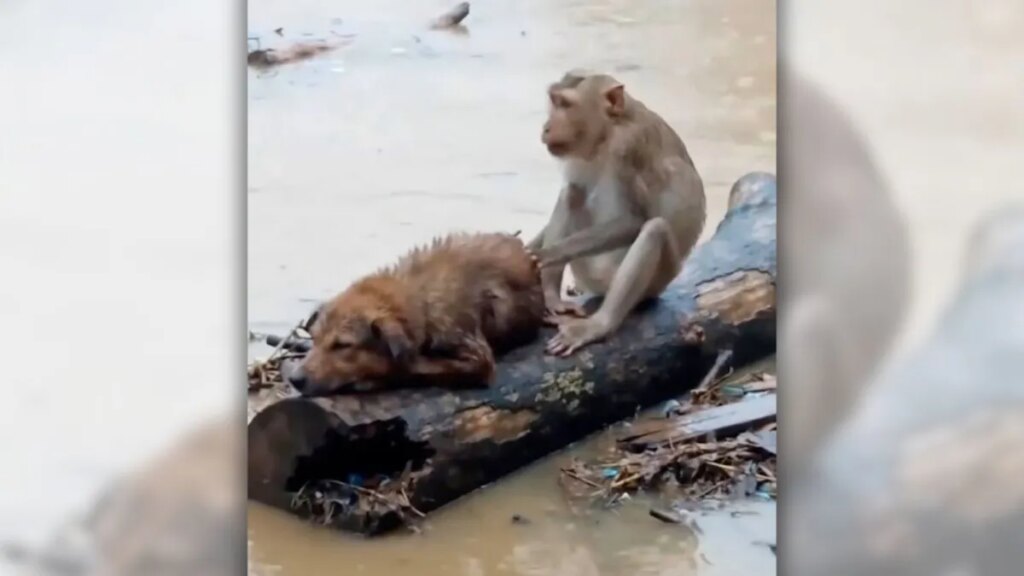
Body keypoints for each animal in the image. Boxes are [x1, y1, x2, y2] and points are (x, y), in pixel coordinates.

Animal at [287, 232, 544, 396]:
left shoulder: (477, 360)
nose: (295, 379)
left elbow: (413, 367)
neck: (420, 302)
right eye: (315, 340)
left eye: (342, 345)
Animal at [526, 70, 706, 356]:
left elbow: (636, 220)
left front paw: (547, 254)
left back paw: (599, 325)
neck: (609, 132)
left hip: (657, 280)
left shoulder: (630, 147)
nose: (546, 127)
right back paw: (553, 298)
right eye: (554, 102)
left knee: (654, 230)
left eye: (565, 104)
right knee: (572, 194)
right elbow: (574, 189)